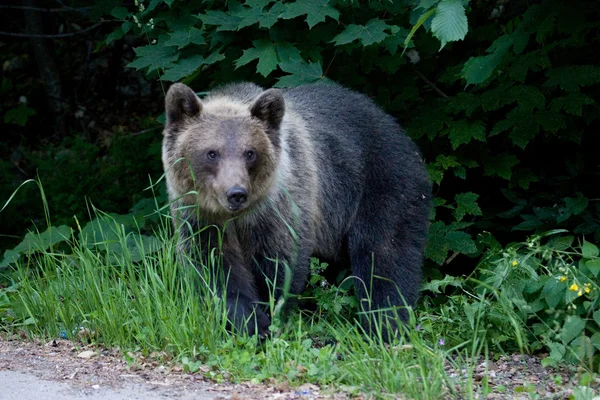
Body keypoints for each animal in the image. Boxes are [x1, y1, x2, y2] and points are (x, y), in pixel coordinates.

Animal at [159, 81, 432, 338]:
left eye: (250, 152)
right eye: (212, 153)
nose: (236, 193)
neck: (237, 217)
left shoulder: (279, 209)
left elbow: (280, 265)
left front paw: (271, 318)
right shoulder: (200, 216)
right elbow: (214, 268)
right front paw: (248, 322)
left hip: (382, 183)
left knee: (384, 254)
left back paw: (384, 324)